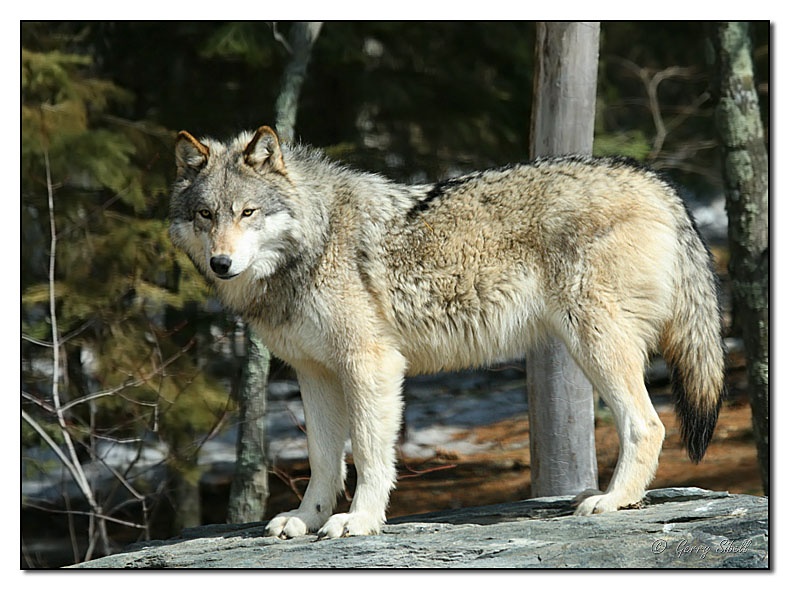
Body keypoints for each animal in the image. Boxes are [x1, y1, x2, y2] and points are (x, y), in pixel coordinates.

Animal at [170, 125, 728, 540]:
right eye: (206, 215)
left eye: (248, 213)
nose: (221, 264)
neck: (316, 239)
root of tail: (656, 180)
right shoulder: (316, 374)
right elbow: (325, 461)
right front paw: (306, 519)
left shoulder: (370, 365)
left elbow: (369, 453)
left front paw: (360, 520)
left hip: (595, 344)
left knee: (649, 424)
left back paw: (614, 500)